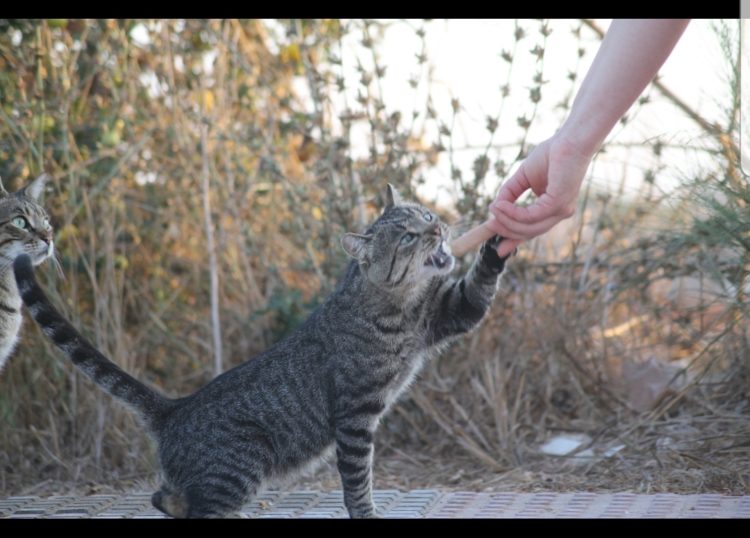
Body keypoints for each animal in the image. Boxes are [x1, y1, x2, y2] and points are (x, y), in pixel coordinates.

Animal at [14, 184, 512, 516]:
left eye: (425, 215)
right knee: (198, 508)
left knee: (165, 496)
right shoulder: (355, 416)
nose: (438, 225)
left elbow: (481, 280)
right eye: (408, 236)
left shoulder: (451, 311)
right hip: (239, 468)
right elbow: (358, 484)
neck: (398, 306)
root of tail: (174, 408)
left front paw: (502, 232)